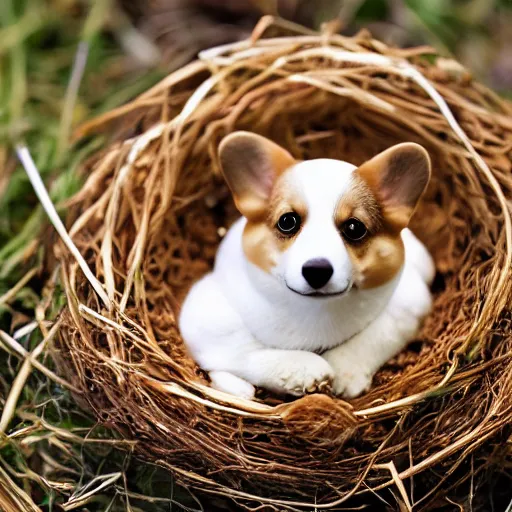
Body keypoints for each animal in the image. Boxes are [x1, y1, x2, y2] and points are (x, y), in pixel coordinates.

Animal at [178, 132, 434, 400]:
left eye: (355, 228)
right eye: (287, 221)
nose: (317, 270)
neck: (316, 311)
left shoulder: (409, 302)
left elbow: (375, 336)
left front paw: (345, 370)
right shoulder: (204, 317)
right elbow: (246, 352)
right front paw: (301, 369)